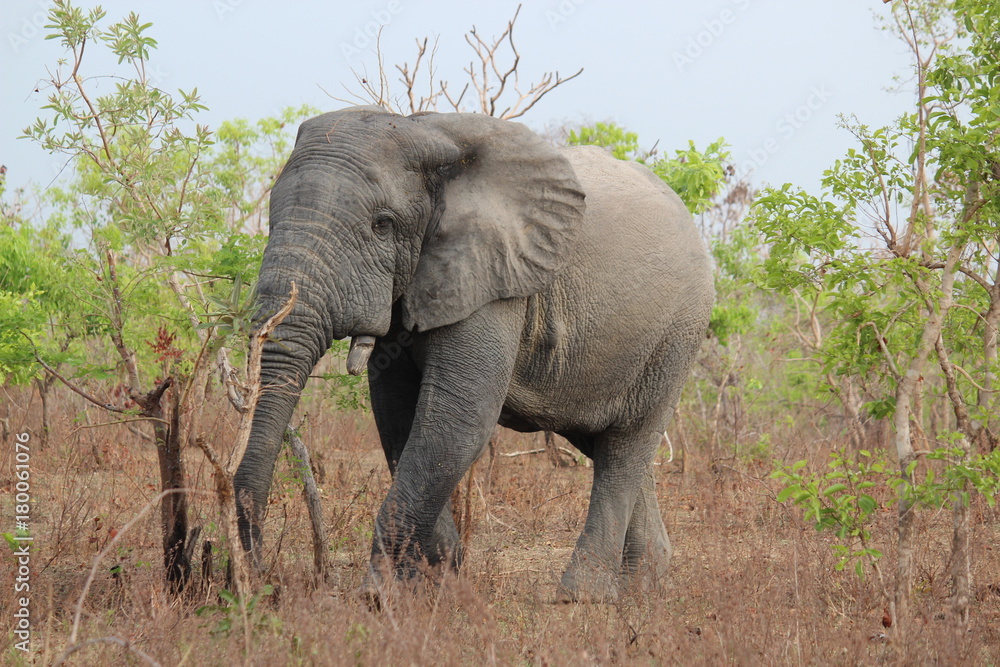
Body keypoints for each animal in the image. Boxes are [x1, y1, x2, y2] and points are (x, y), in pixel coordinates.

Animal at [233, 105, 714, 602]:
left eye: (382, 224)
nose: (263, 582)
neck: (425, 132)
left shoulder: (494, 277)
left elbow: (457, 420)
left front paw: (379, 597)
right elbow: (397, 417)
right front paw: (439, 579)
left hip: (677, 332)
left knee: (626, 444)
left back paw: (583, 596)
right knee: (603, 441)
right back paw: (643, 586)